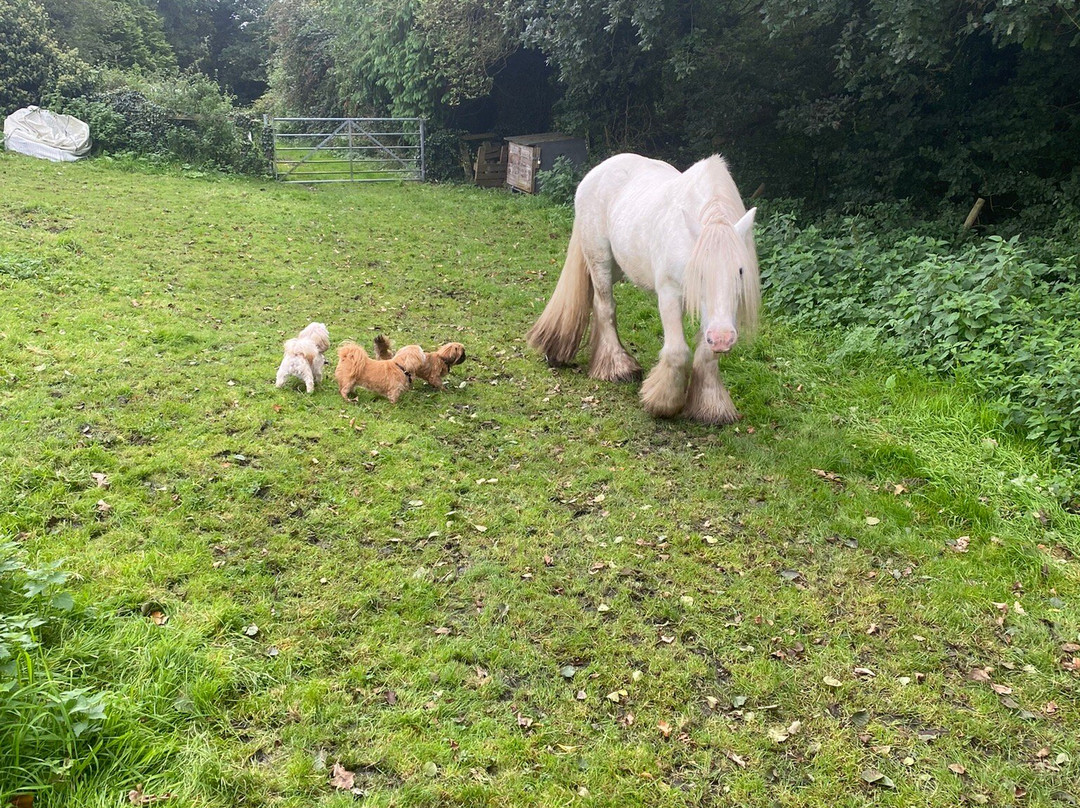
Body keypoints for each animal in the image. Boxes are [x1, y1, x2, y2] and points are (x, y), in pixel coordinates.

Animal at [527, 153, 764, 425]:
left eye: (740, 271)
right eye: (699, 272)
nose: (724, 339)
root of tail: (597, 171)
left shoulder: (718, 314)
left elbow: (707, 353)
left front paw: (711, 407)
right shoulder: (669, 293)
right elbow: (677, 352)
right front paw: (663, 403)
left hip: (618, 266)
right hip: (600, 259)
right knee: (604, 306)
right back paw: (618, 368)